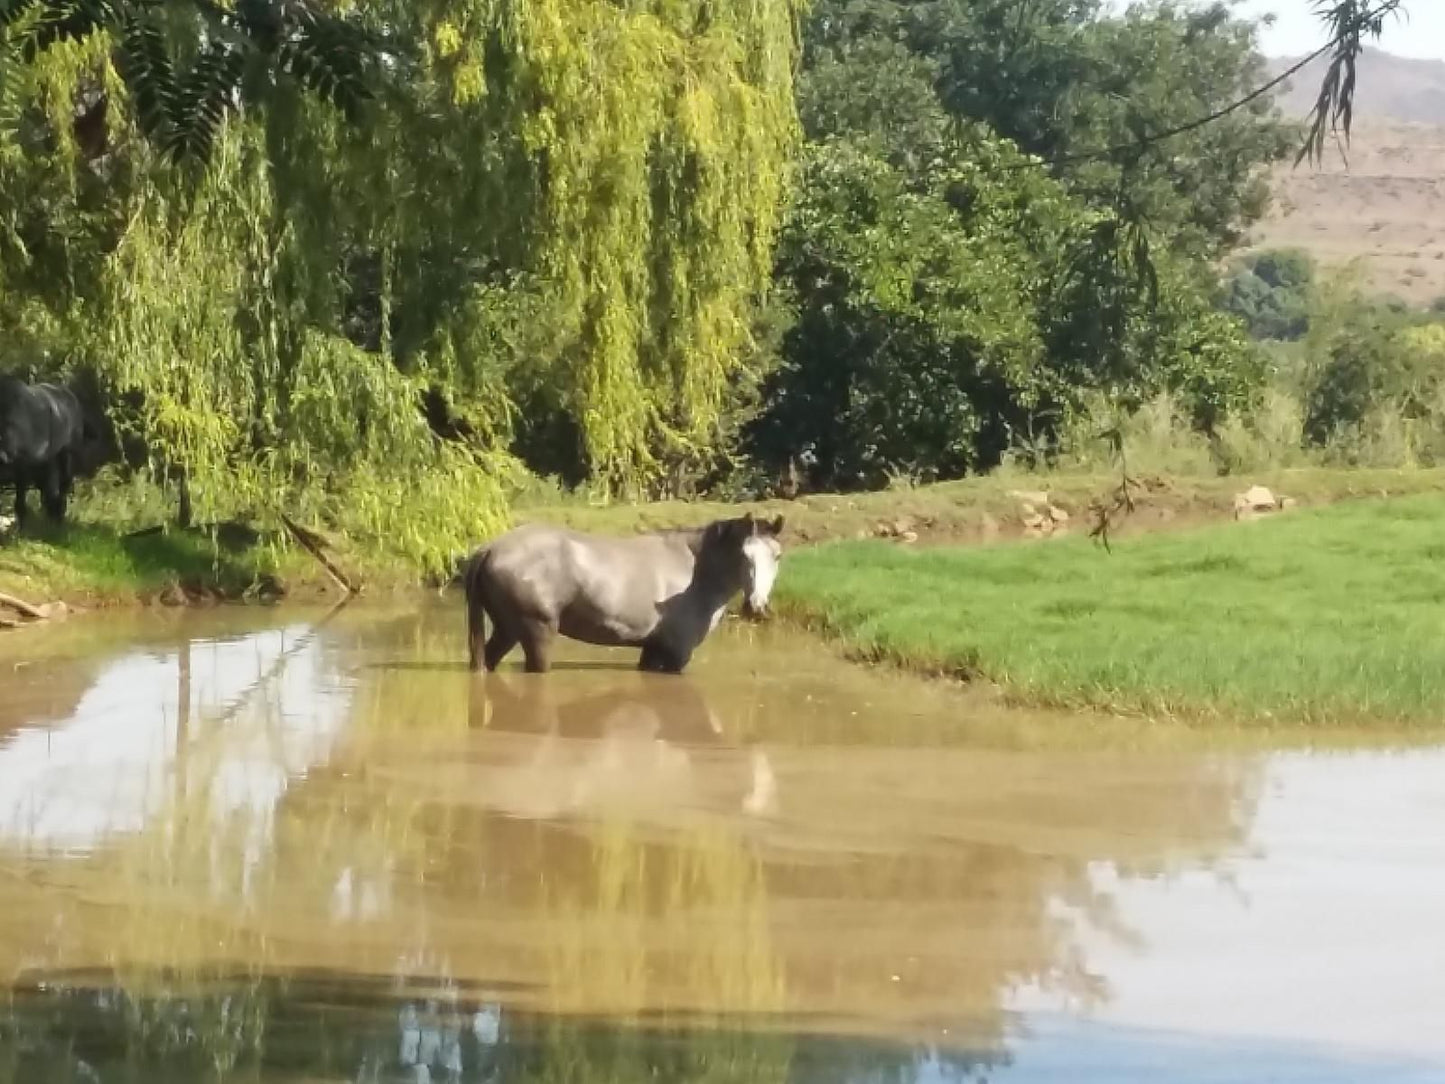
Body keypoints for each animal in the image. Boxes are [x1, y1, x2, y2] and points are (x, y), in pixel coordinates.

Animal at [0, 378, 87, 531]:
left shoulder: (23, 470)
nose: (4, 456)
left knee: (63, 486)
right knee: (50, 492)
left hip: (67, 456)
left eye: (11, 423)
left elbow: (20, 504)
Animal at [462, 514, 786, 676]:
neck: (697, 572)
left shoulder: (654, 648)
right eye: (745, 555)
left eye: (777, 555)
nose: (757, 607)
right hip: (536, 633)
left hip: (506, 630)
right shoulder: (678, 653)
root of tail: (490, 548)